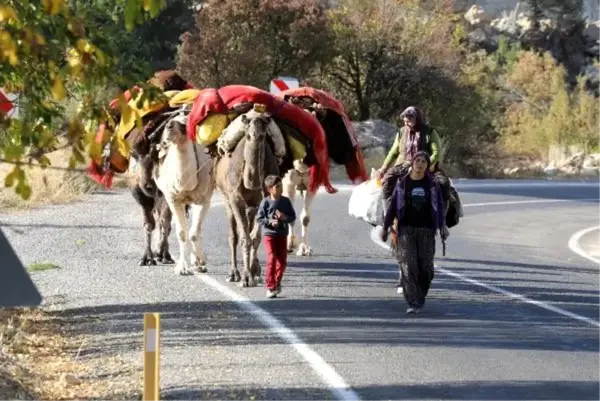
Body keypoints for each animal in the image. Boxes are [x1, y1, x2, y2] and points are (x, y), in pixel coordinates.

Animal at [152, 109, 216, 276]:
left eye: (184, 124)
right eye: (171, 122)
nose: (168, 127)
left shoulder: (204, 200)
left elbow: (194, 232)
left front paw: (201, 262)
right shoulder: (173, 199)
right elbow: (181, 233)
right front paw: (183, 268)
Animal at [216, 108, 282, 286]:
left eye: (265, 125)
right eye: (246, 125)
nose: (255, 134)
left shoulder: (261, 200)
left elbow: (255, 237)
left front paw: (253, 273)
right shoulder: (234, 198)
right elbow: (244, 237)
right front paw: (245, 277)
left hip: (251, 206)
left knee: (250, 224)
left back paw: (256, 271)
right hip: (225, 197)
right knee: (233, 235)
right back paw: (234, 273)